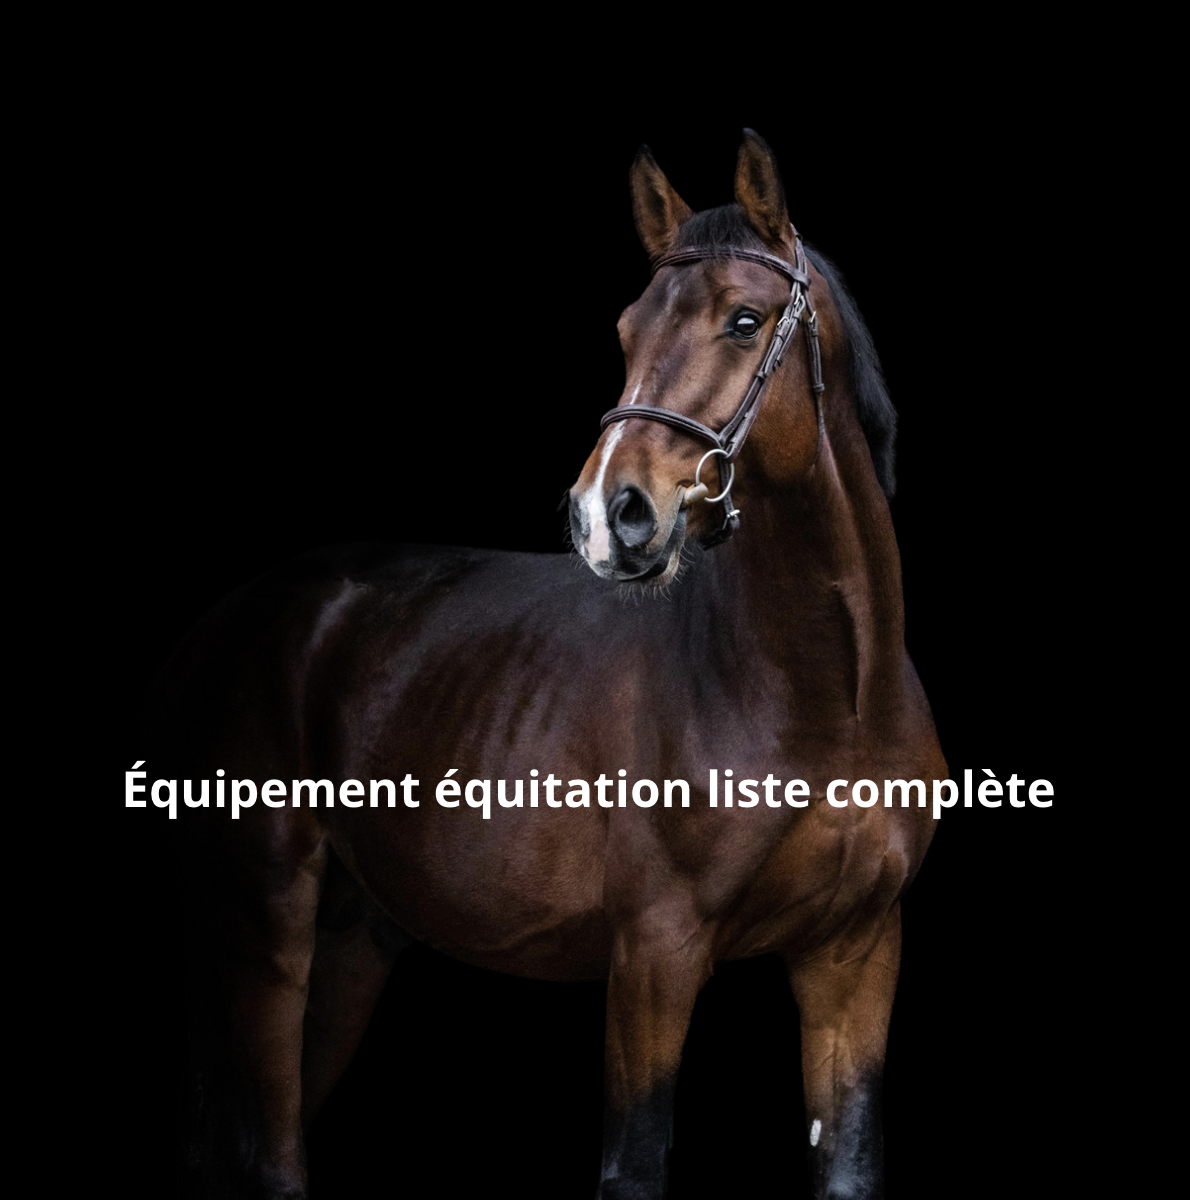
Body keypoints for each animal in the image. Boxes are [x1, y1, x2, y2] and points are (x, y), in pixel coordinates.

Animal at [154, 128, 944, 1199]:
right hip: (263, 918)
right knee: (271, 1152)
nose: (611, 515)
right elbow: (633, 1165)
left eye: (744, 322)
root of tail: (230, 621)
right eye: (626, 329)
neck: (832, 698)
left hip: (354, 939)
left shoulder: (855, 953)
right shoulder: (654, 955)